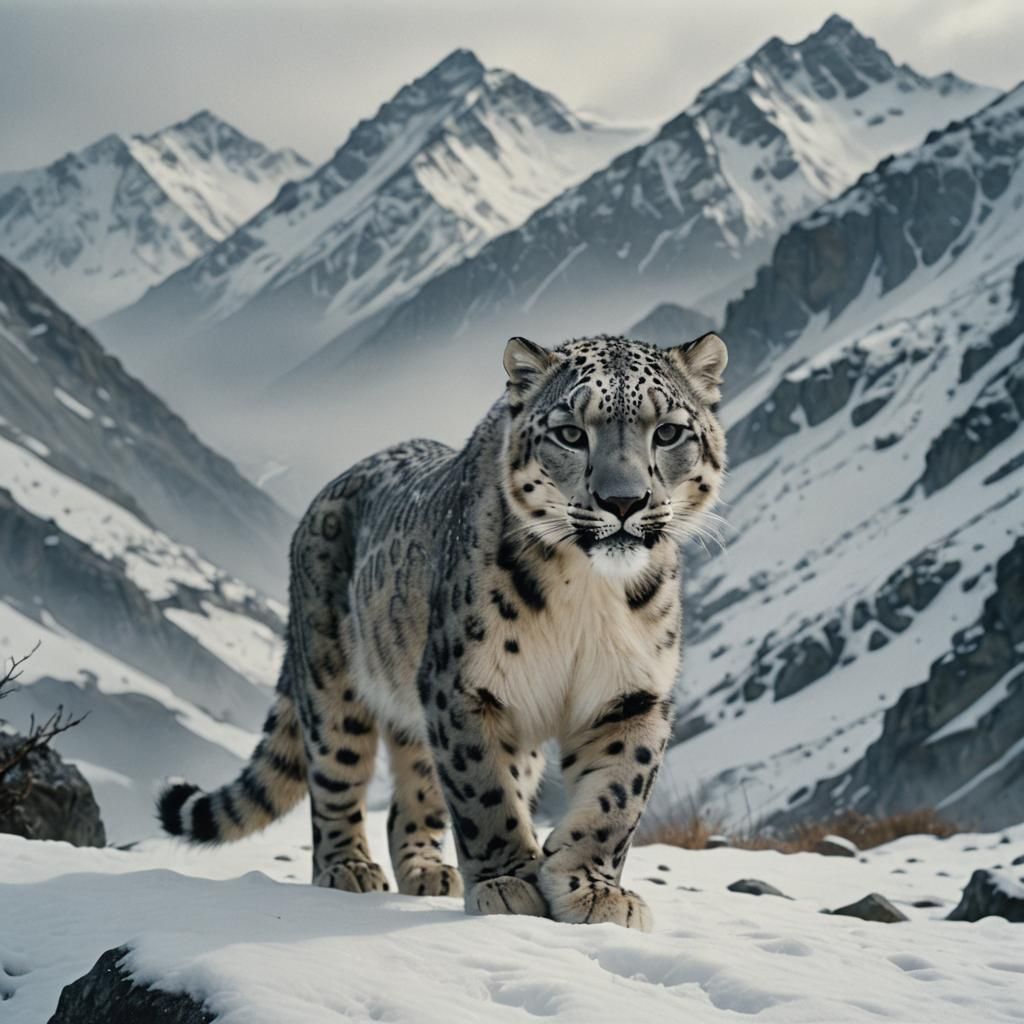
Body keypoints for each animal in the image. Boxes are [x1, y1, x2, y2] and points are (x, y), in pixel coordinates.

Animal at [158, 332, 728, 932]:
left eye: (668, 431)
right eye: (571, 433)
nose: (623, 501)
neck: (589, 594)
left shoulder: (633, 693)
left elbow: (617, 797)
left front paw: (592, 890)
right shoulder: (464, 687)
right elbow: (485, 794)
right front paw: (508, 882)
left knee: (413, 796)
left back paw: (428, 871)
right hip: (333, 684)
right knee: (336, 778)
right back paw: (348, 868)